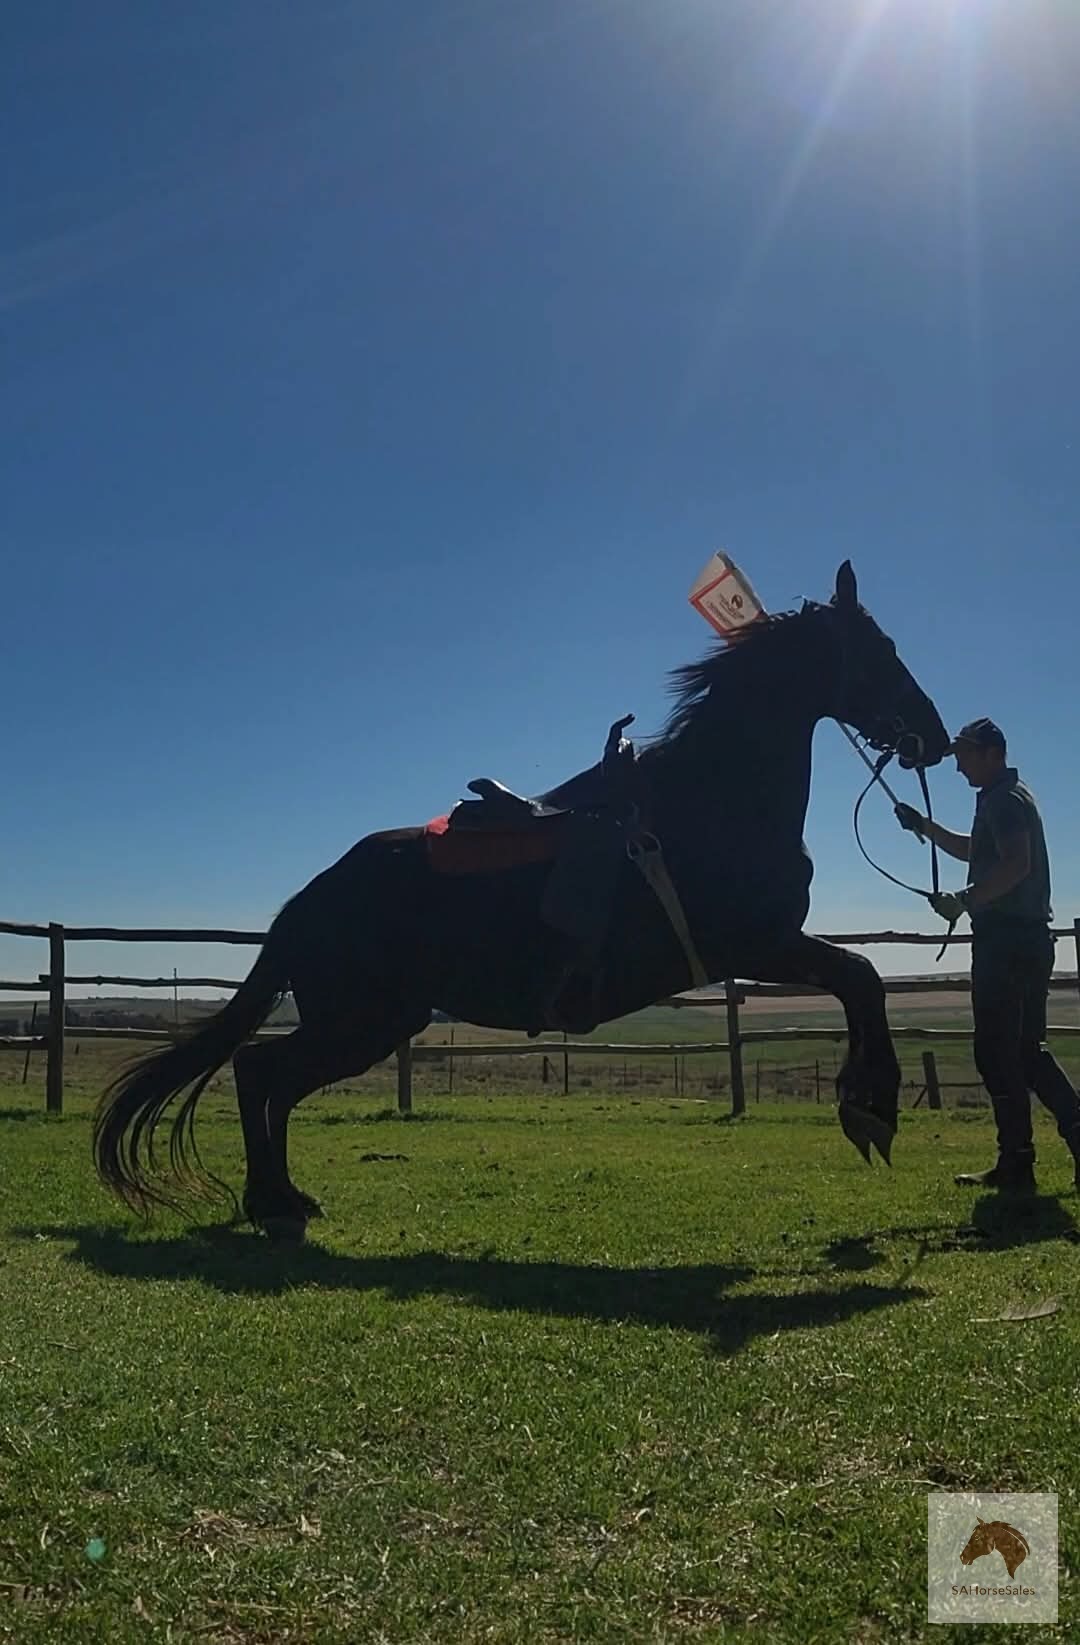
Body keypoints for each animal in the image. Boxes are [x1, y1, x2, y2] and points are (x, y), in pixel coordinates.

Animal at [94, 562, 950, 1239]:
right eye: (882, 652)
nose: (935, 737)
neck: (716, 799)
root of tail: (310, 897)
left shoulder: (762, 947)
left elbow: (859, 981)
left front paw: (869, 1101)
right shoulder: (758, 942)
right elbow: (862, 978)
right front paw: (871, 1105)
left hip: (375, 1022)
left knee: (268, 1077)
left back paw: (283, 1196)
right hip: (360, 1021)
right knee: (257, 1071)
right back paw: (271, 1200)